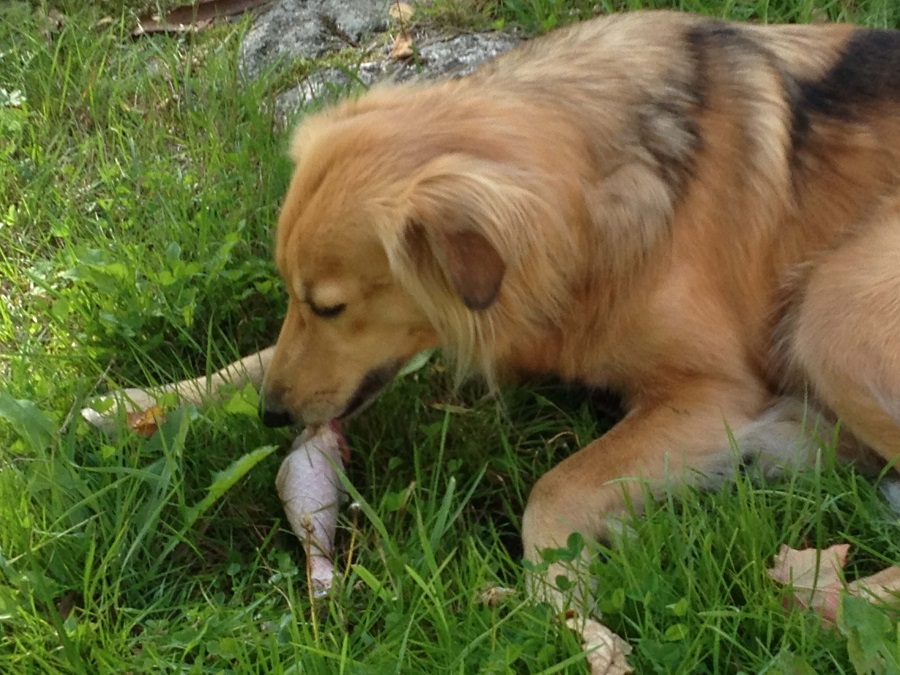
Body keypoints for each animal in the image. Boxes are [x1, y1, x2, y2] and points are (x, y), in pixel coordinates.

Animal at [88, 9, 900, 604]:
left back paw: (824, 591)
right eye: (294, 297)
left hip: (831, 307)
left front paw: (561, 597)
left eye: (331, 307)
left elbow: (555, 488)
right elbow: (246, 359)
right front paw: (138, 403)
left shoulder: (715, 389)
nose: (273, 417)